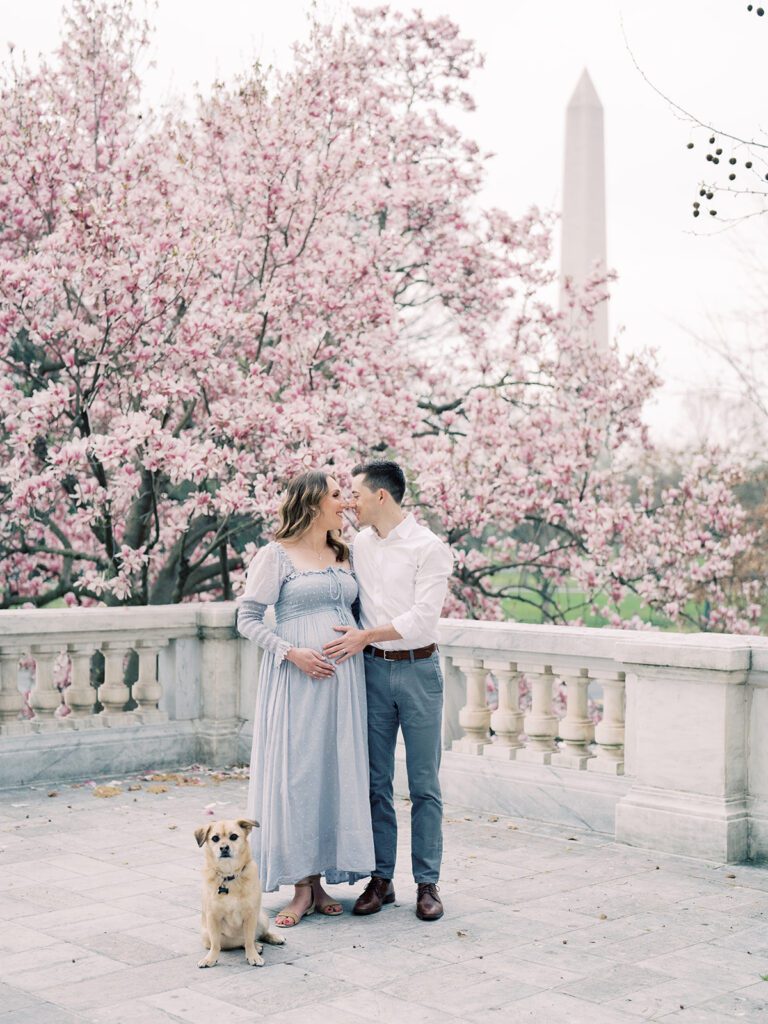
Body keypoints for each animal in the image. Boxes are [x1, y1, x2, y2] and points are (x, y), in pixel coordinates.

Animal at [195, 815, 286, 966]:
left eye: (233, 836)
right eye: (215, 838)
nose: (224, 848)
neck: (229, 876)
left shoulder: (250, 914)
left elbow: (249, 939)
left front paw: (253, 956)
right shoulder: (213, 917)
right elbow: (216, 944)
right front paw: (210, 959)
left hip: (261, 918)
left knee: (257, 935)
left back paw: (272, 938)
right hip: (211, 936)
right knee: (239, 942)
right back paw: (257, 946)